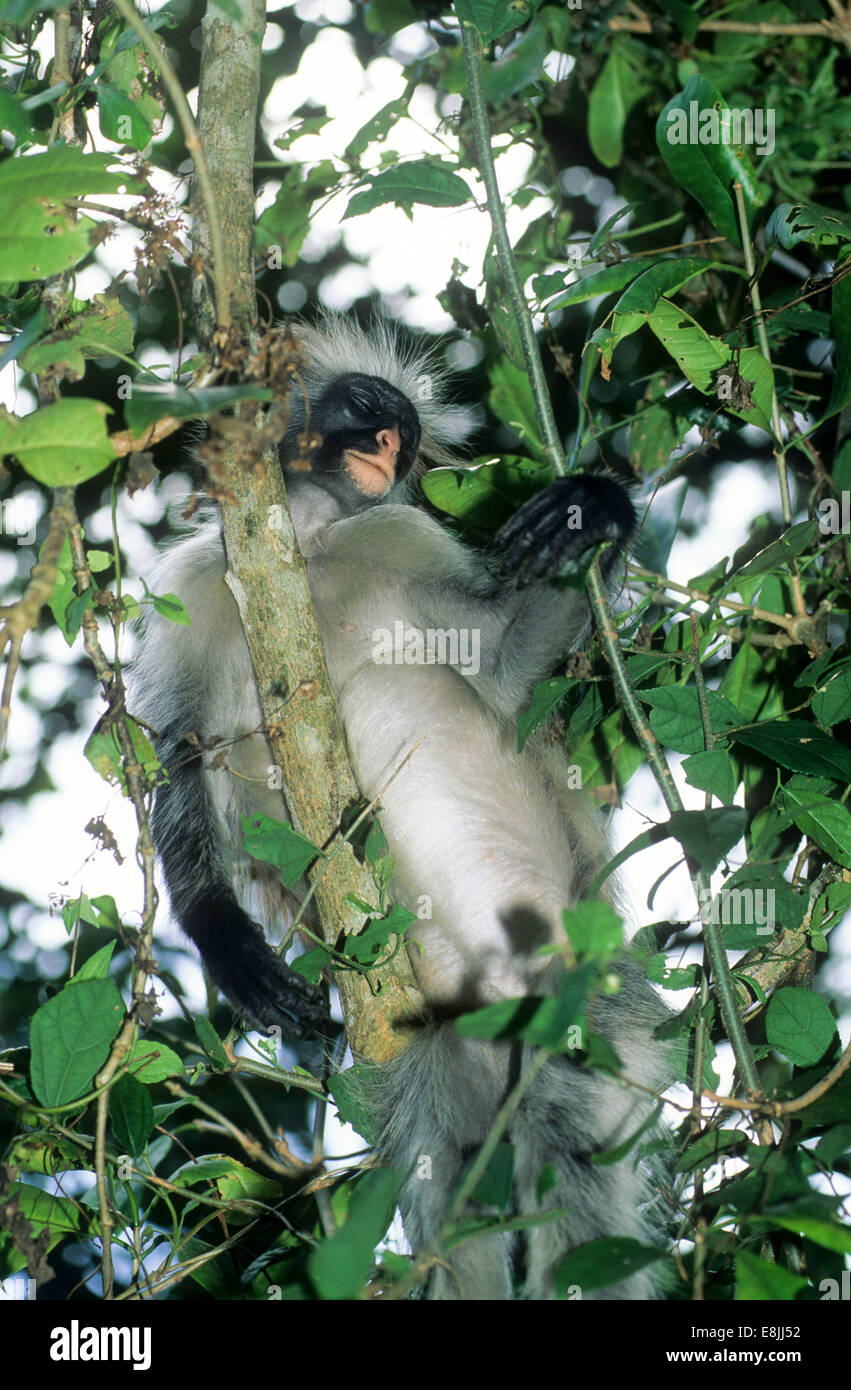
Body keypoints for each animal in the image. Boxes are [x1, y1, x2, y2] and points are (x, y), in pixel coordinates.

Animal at [131, 315, 670, 1301]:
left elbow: (503, 666)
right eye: (365, 408)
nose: (389, 447)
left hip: (582, 1010)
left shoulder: (398, 534)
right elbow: (182, 761)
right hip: (448, 1051)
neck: (305, 551)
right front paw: (231, 946)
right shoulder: (193, 591)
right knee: (450, 1194)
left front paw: (595, 511)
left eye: (407, 436)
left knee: (569, 1166)